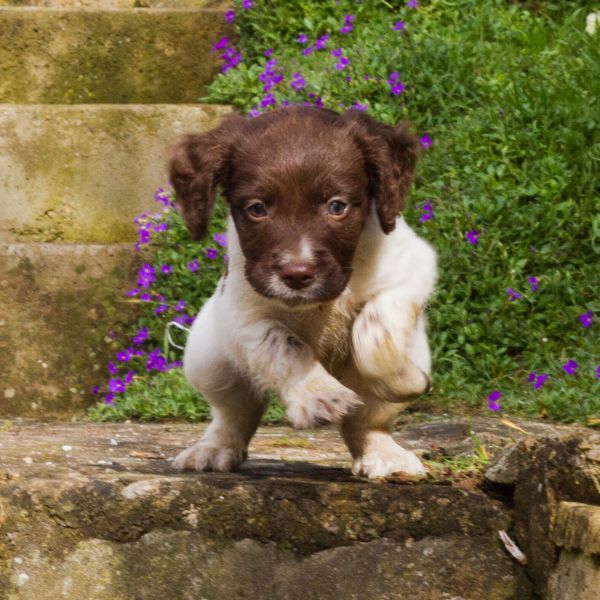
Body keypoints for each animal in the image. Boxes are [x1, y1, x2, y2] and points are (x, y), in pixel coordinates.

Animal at [168, 103, 436, 478]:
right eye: (257, 208)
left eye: (337, 206)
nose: (297, 274)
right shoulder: (243, 309)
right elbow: (284, 345)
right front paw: (319, 394)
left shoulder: (412, 267)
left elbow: (375, 335)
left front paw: (402, 379)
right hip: (207, 358)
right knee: (235, 412)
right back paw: (214, 449)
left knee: (366, 422)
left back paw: (386, 454)